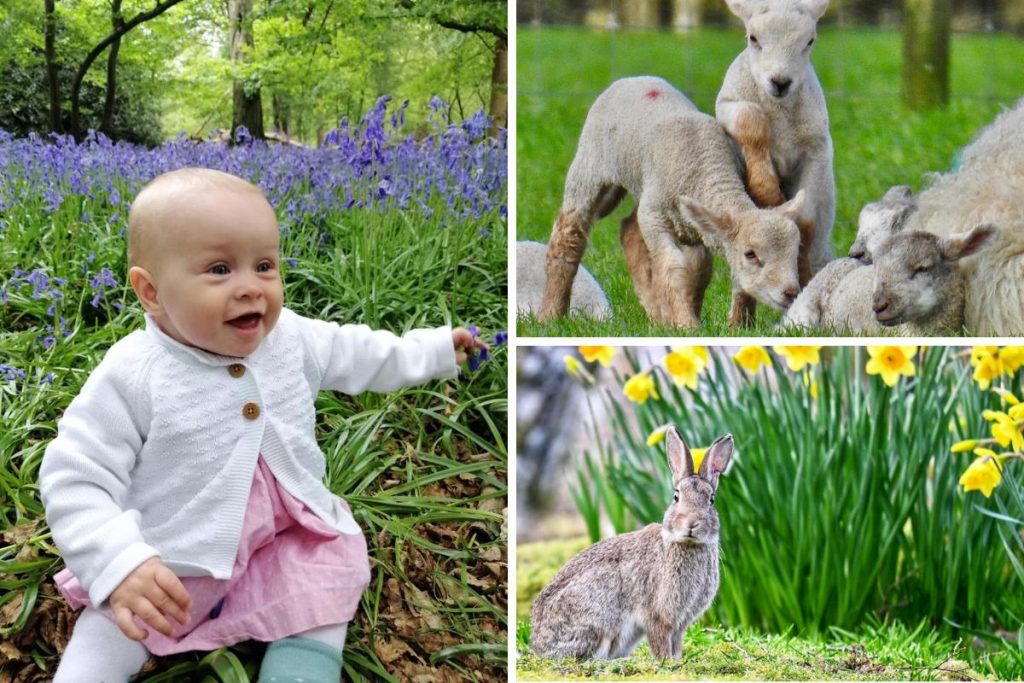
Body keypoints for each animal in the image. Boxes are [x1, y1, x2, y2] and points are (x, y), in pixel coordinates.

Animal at [538, 76, 805, 329]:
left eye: (796, 250)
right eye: (751, 255)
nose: (791, 293)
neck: (705, 169)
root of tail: (634, 78)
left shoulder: (696, 228)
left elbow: (699, 271)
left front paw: (734, 324)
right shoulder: (656, 218)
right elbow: (672, 268)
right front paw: (686, 324)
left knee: (630, 230)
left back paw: (656, 314)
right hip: (589, 167)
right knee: (569, 234)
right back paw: (550, 315)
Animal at [716, 0, 834, 287]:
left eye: (810, 41)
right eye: (753, 38)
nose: (781, 82)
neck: (779, 110)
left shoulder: (817, 150)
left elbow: (803, 219)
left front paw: (800, 273)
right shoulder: (726, 104)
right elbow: (749, 117)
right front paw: (766, 189)